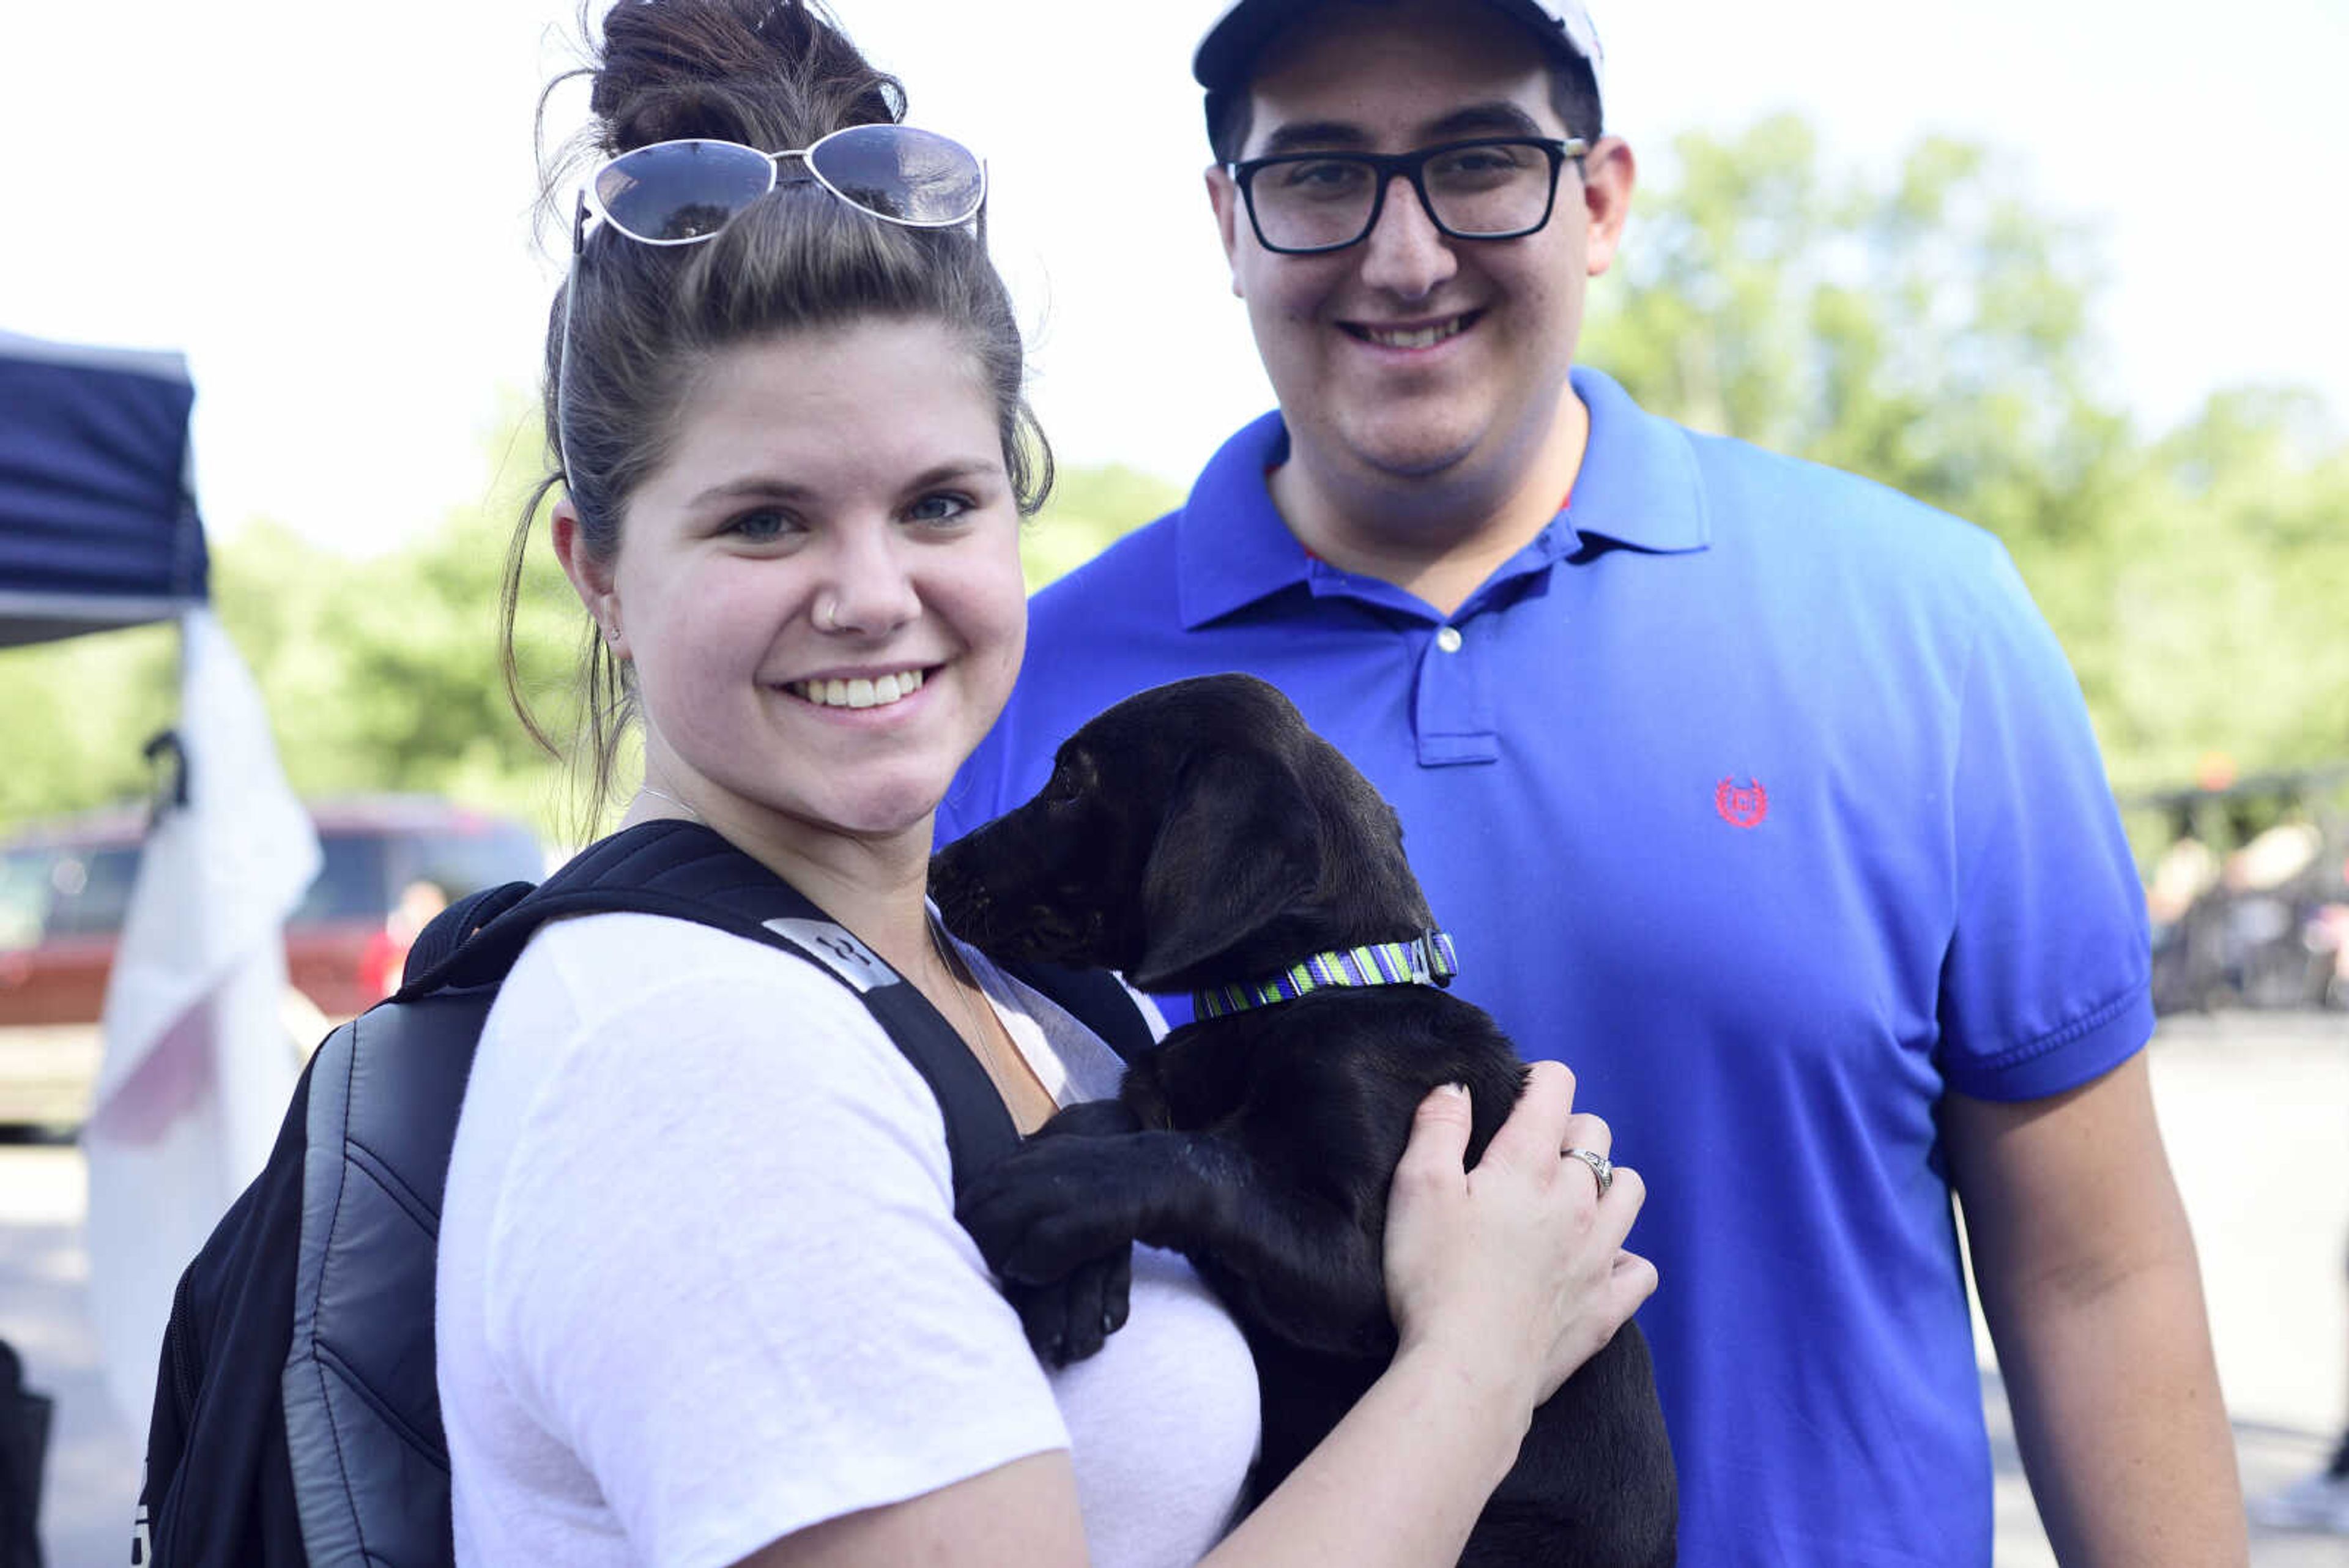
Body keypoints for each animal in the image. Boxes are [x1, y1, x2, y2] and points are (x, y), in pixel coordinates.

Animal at [925, 677, 1682, 1568]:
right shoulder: (1163, 1092)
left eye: (1071, 784)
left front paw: (1049, 1191)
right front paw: (1070, 1258)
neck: (1297, 994)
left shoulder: (1370, 1269)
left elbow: (1202, 1162)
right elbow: (1131, 1115)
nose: (935, 866)